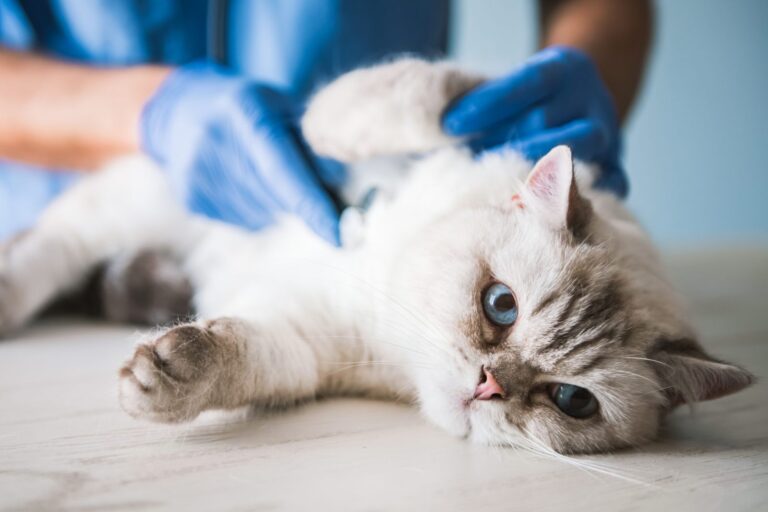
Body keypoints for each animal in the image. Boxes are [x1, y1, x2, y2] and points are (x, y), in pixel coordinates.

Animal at [0, 58, 756, 454]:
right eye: (501, 306)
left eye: (572, 401)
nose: (488, 385)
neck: (387, 284)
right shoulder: (416, 124)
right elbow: (421, 103)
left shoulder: (304, 342)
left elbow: (232, 356)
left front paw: (167, 374)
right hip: (139, 200)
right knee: (48, 249)